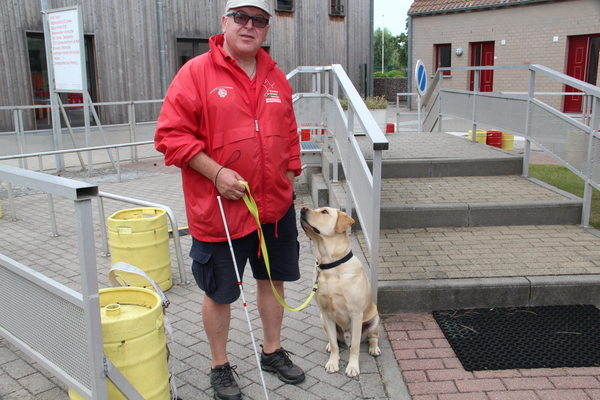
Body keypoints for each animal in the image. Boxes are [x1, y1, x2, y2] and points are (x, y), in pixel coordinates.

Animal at [300, 208, 380, 376]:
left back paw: (374, 348)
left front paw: (353, 367)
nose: (303, 209)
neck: (329, 265)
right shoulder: (325, 313)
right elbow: (334, 343)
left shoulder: (356, 314)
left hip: (375, 319)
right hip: (322, 319)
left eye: (324, 211)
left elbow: (355, 347)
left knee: (372, 337)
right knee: (335, 341)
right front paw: (332, 362)